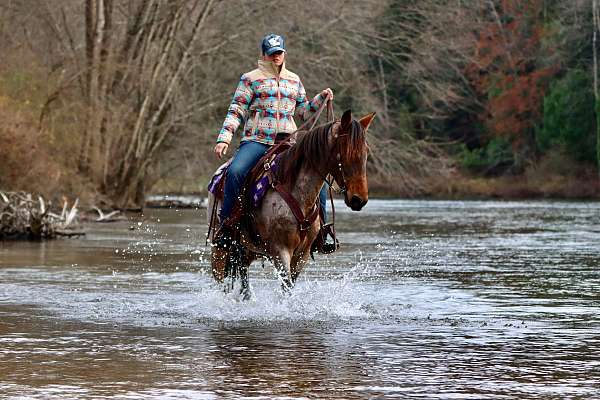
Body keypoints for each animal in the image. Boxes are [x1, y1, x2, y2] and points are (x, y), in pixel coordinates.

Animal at [207, 109, 376, 296]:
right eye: (345, 153)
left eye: (366, 152)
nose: (358, 199)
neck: (297, 195)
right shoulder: (280, 251)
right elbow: (286, 286)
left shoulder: (302, 254)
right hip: (220, 250)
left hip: (246, 250)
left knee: (243, 276)